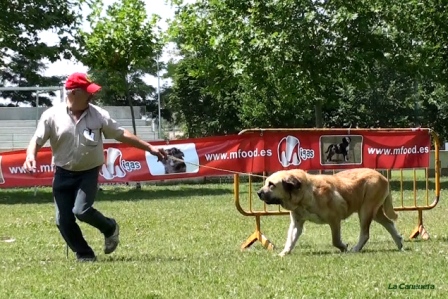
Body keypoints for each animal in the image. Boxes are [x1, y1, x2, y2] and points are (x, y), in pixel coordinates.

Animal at [258, 169, 404, 255]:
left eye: (271, 185)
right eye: (266, 183)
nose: (259, 193)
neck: (305, 192)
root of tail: (383, 177)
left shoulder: (334, 219)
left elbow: (335, 240)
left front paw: (344, 247)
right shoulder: (296, 224)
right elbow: (290, 239)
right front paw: (284, 253)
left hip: (365, 211)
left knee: (365, 234)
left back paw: (356, 249)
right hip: (375, 212)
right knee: (389, 223)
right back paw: (399, 243)